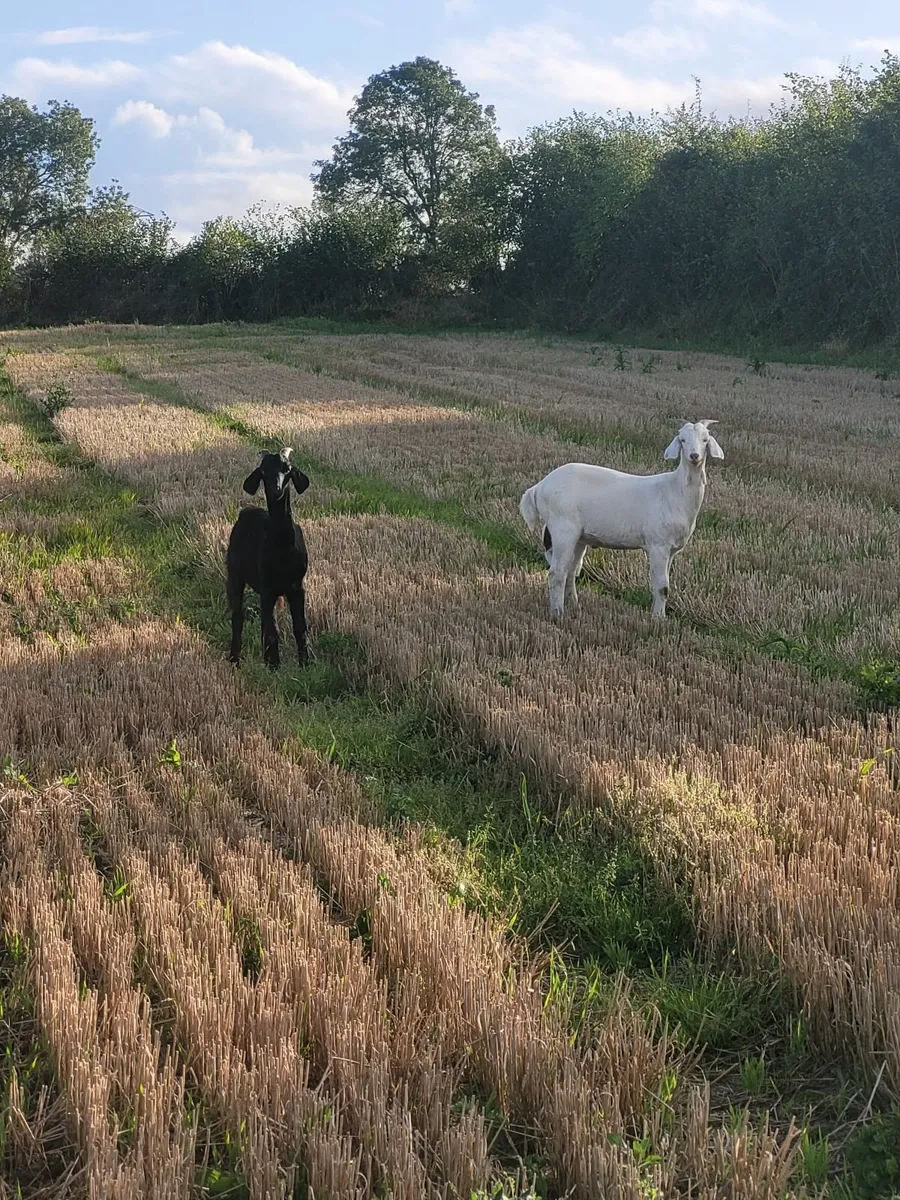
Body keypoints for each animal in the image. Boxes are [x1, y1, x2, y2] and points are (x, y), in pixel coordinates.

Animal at [226, 447, 310, 669]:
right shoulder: (267, 588)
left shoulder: (297, 587)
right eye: (263, 471)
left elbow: (300, 628)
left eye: (287, 469)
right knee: (238, 616)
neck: (283, 549)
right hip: (234, 573)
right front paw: (274, 666)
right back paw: (235, 659)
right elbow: (273, 632)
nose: (276, 489)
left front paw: (305, 663)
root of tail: (247, 511)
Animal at [519, 420, 724, 621]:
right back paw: (557, 615)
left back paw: (575, 606)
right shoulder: (658, 545)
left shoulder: (671, 550)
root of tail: (538, 487)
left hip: (578, 537)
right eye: (682, 440)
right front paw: (658, 620)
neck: (674, 490)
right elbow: (662, 587)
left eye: (705, 440)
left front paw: (659, 616)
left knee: (571, 571)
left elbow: (664, 587)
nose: (694, 456)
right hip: (562, 529)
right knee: (557, 574)